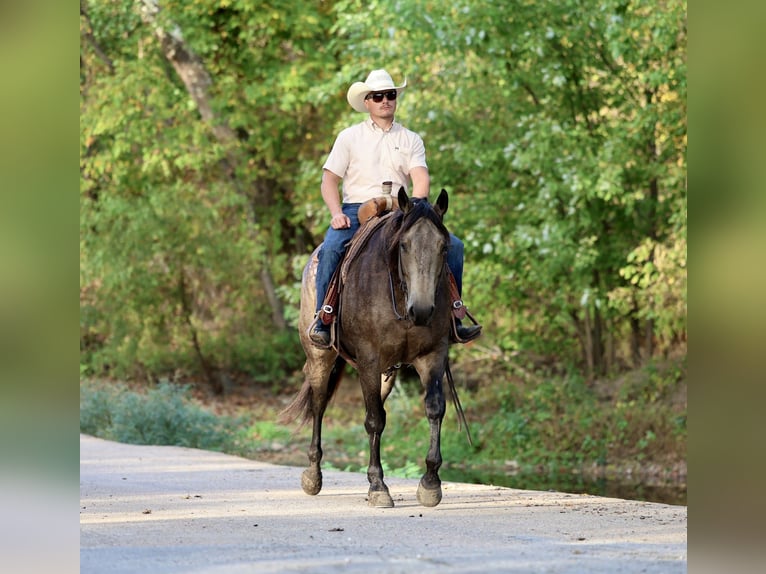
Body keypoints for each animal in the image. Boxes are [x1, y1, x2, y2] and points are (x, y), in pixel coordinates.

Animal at [280, 188, 455, 508]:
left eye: (444, 247)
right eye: (403, 245)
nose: (422, 310)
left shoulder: (432, 356)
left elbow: (434, 409)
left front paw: (430, 483)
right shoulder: (369, 360)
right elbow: (373, 421)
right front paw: (378, 487)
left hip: (387, 373)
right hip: (321, 358)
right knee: (319, 404)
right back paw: (312, 475)